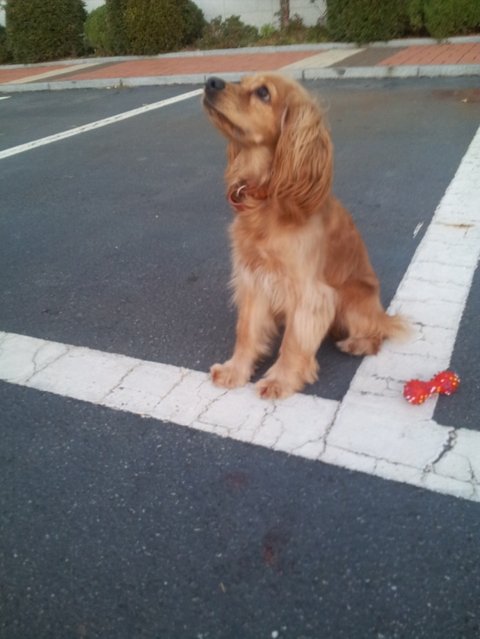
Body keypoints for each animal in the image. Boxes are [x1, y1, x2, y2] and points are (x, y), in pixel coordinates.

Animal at [203, 73, 408, 399]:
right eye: (242, 81)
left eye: (263, 92)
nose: (211, 82)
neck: (267, 200)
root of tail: (381, 313)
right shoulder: (254, 279)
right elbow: (246, 331)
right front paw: (235, 371)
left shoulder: (309, 293)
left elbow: (294, 342)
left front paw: (280, 380)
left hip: (351, 298)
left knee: (377, 333)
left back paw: (357, 343)